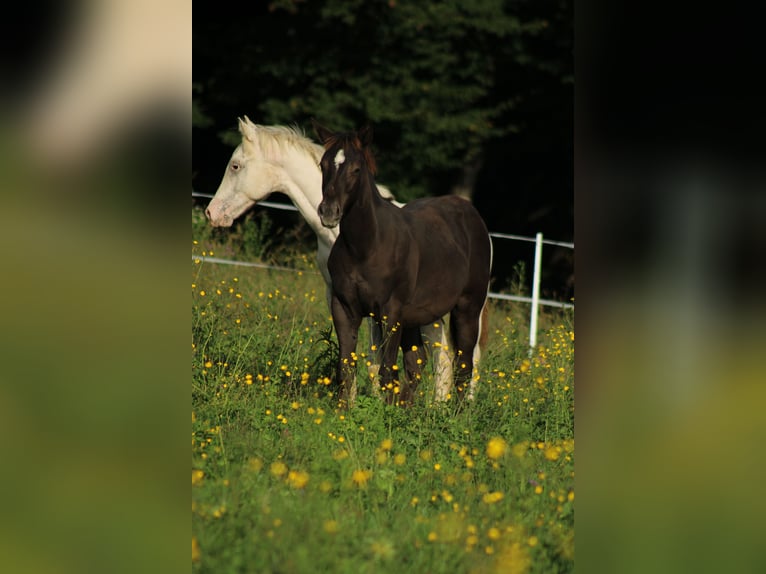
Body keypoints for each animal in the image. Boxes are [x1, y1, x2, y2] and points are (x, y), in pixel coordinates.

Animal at [316, 121, 496, 410]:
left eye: (356, 169)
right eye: (323, 165)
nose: (329, 212)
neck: (367, 247)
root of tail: (474, 217)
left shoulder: (390, 313)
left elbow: (386, 369)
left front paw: (386, 414)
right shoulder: (343, 308)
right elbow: (347, 366)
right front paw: (343, 412)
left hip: (467, 309)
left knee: (464, 364)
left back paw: (455, 415)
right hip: (417, 317)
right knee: (418, 363)